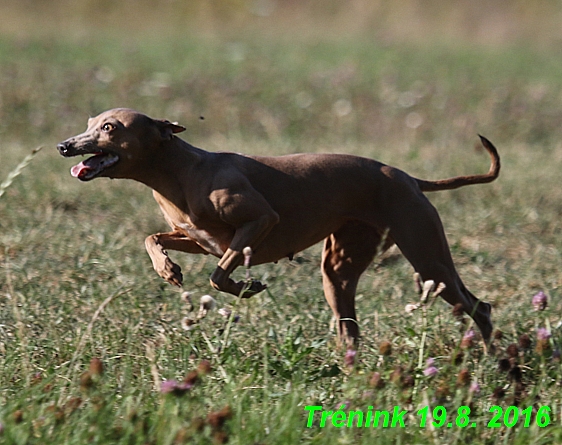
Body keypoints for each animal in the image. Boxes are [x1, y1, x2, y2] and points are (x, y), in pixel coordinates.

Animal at [59, 107, 498, 344]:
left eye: (110, 127)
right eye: (90, 121)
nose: (65, 145)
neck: (180, 171)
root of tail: (408, 177)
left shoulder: (260, 221)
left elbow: (220, 275)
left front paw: (246, 287)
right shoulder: (196, 238)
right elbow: (152, 238)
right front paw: (167, 268)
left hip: (428, 258)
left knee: (481, 307)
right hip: (339, 271)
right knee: (350, 329)